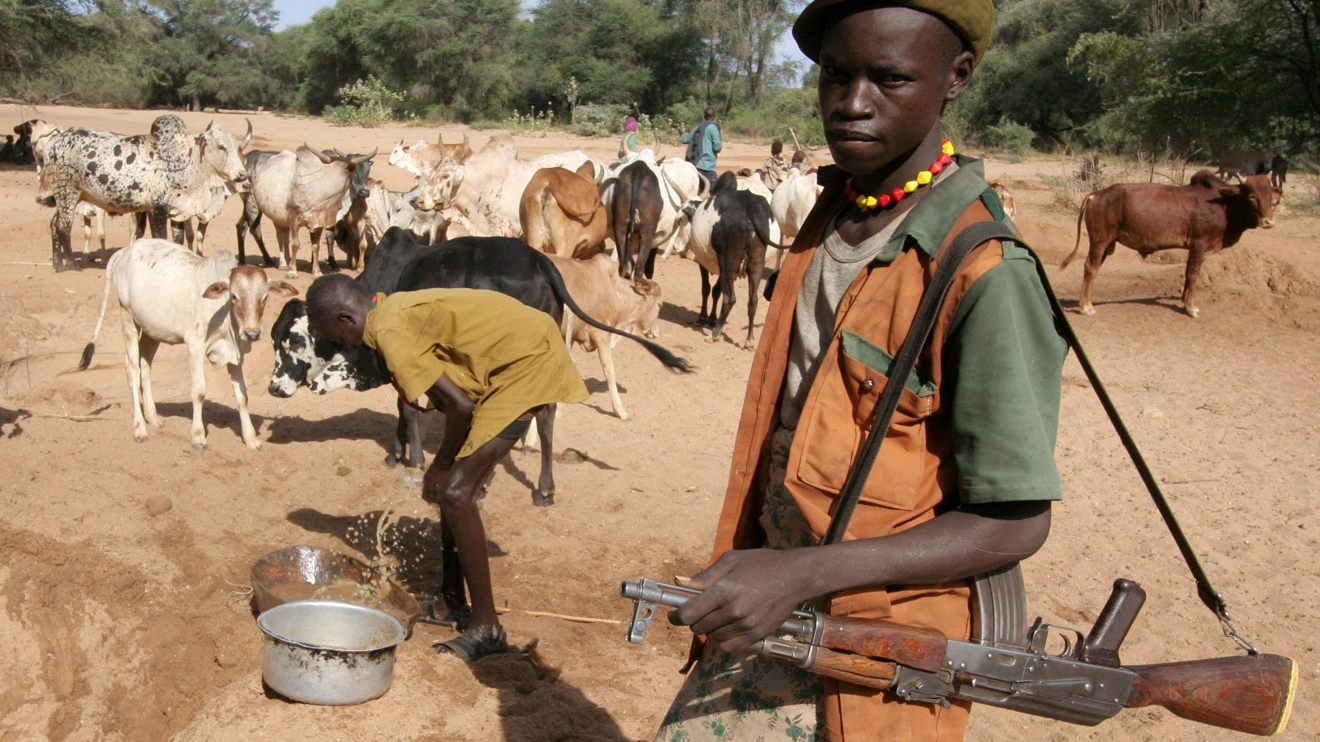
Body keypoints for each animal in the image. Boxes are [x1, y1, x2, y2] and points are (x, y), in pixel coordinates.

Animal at [262, 225, 686, 501]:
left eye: (293, 339)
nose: (273, 388)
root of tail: (539, 261)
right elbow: (406, 406)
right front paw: (397, 451)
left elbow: (408, 407)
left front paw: (411, 458)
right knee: (545, 414)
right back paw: (543, 488)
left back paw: (483, 484)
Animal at [1066, 170, 1272, 314]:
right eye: (1252, 196)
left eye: (1272, 197)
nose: (1269, 221)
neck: (1225, 205)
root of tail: (1096, 195)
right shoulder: (1199, 244)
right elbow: (1193, 274)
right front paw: (1191, 307)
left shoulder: (1195, 248)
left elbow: (1188, 274)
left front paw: (1185, 301)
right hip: (1099, 241)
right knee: (1090, 267)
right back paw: (1085, 306)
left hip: (1107, 243)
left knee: (1095, 269)